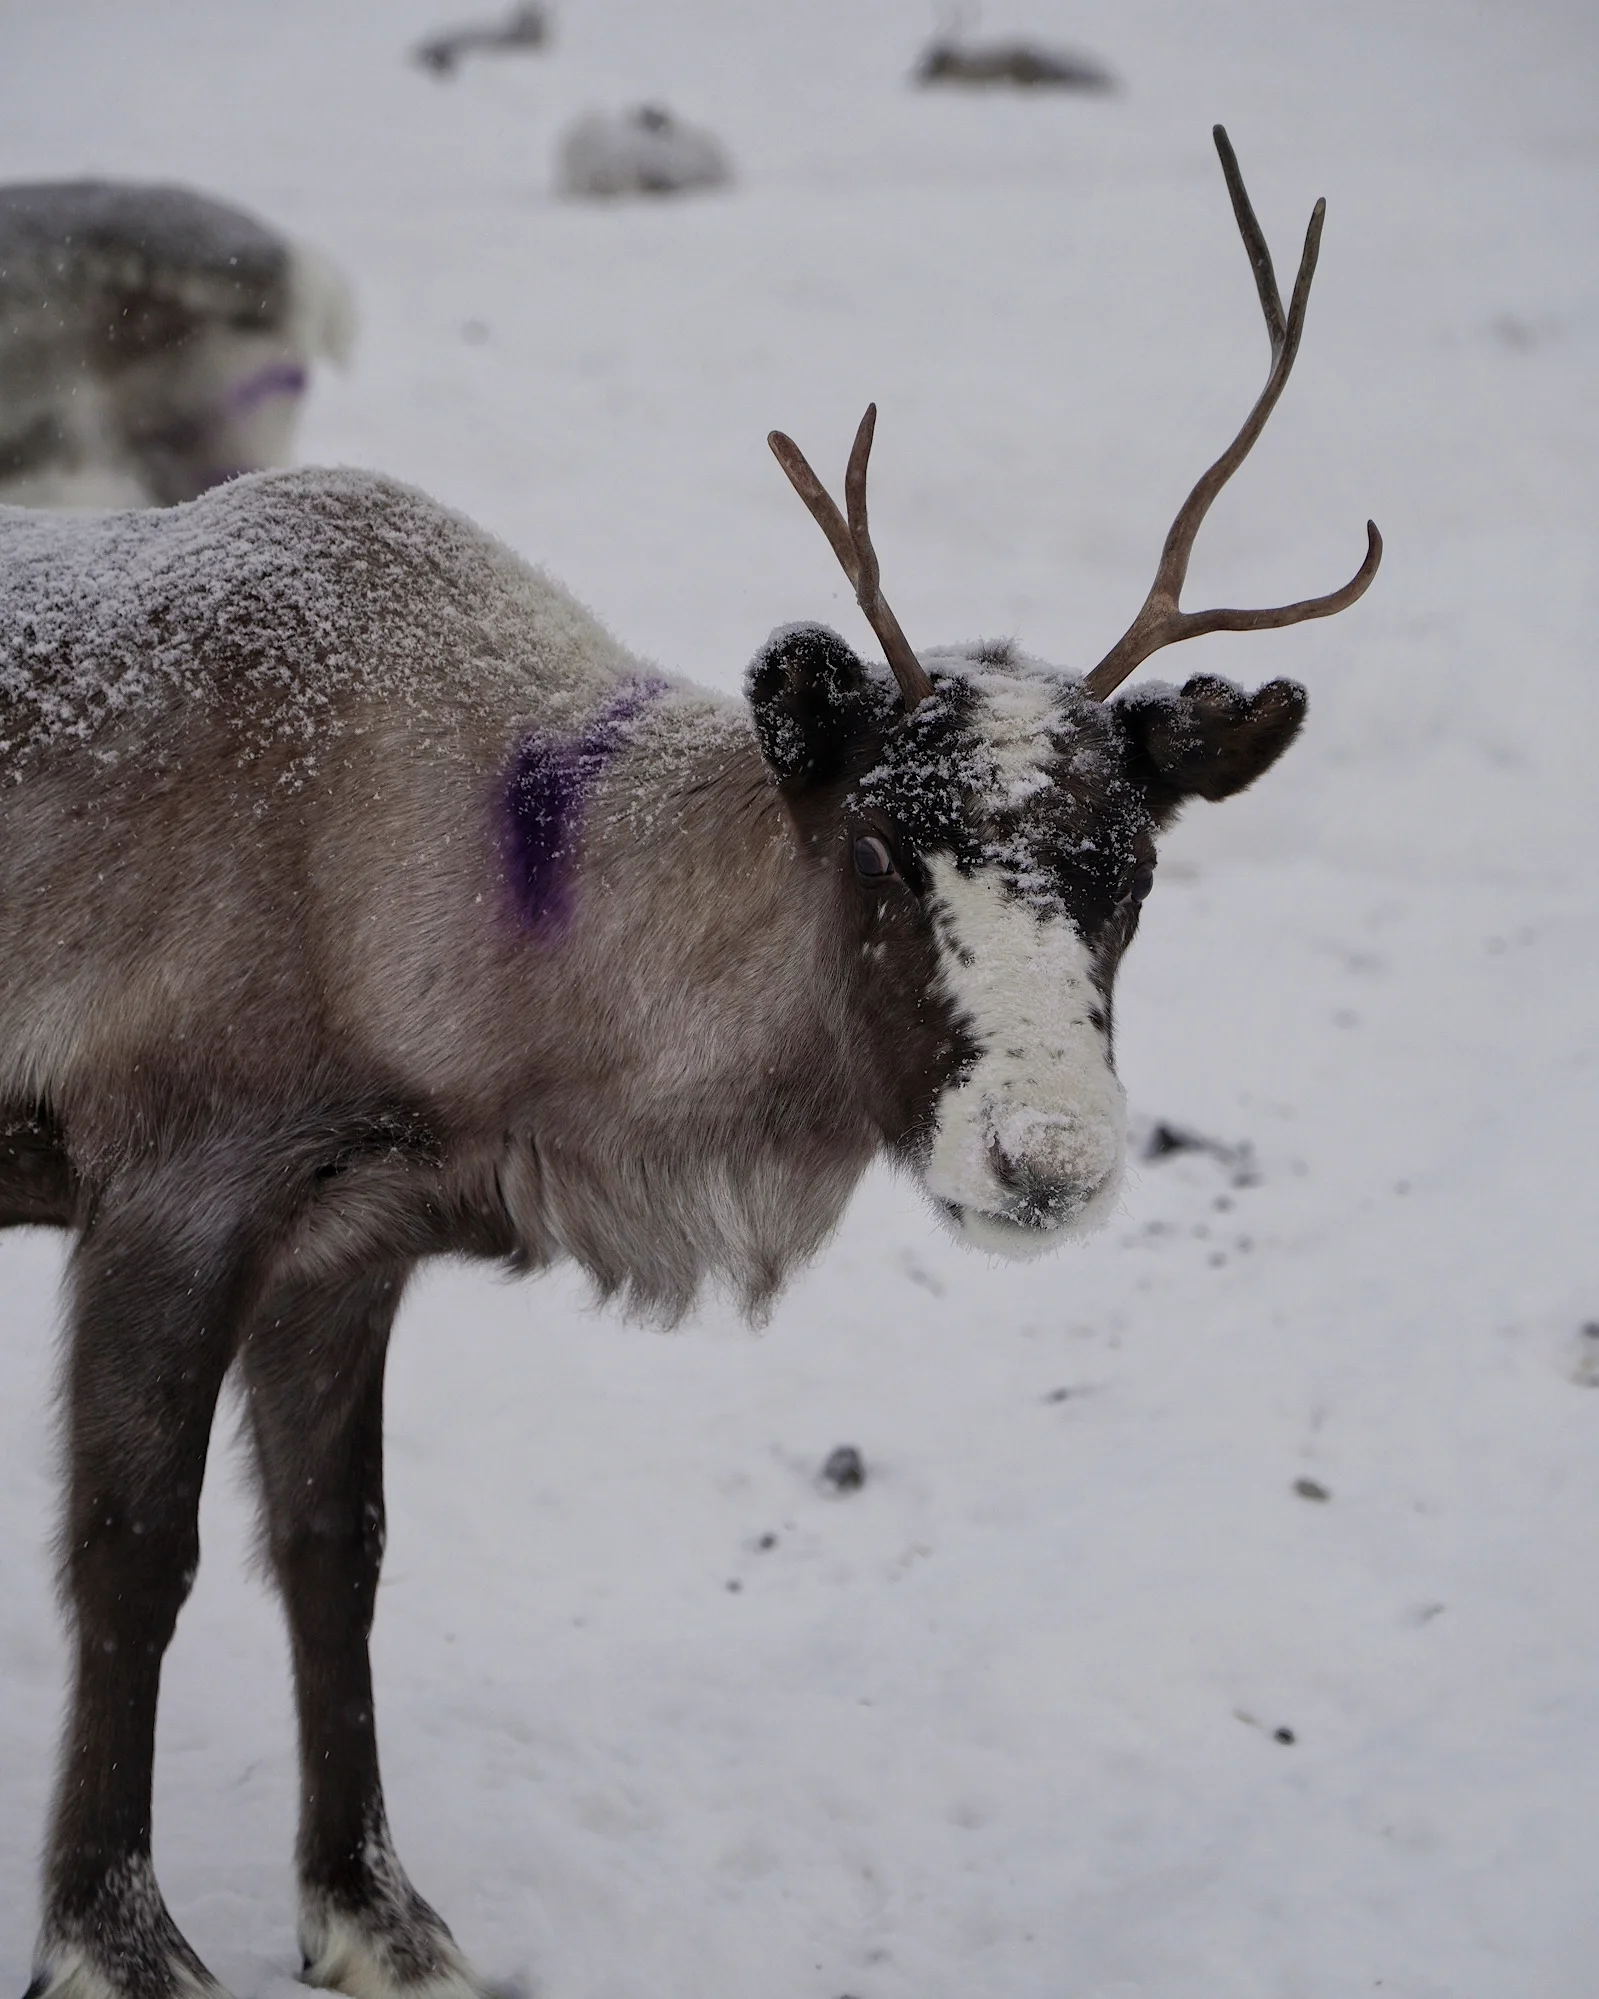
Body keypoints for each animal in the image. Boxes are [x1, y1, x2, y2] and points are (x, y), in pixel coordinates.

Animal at [1, 129, 1378, 1999]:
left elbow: (335, 1548)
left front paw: (376, 1912)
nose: (1043, 1158)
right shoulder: (168, 1185)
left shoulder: (345, 1233)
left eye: (1130, 865)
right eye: (878, 849)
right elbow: (133, 1555)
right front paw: (114, 1937)